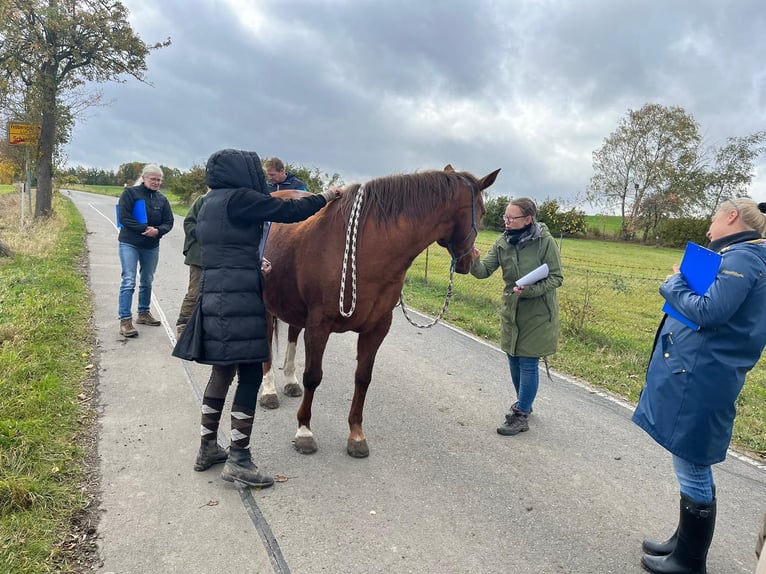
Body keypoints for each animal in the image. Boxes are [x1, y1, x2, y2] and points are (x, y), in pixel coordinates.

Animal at [260, 165, 500, 460]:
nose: (471, 260)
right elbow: (313, 377)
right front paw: (304, 431)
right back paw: (269, 390)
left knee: (293, 333)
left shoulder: (378, 327)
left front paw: (356, 435)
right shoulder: (319, 325)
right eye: (483, 211)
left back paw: (290, 381)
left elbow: (363, 378)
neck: (368, 249)